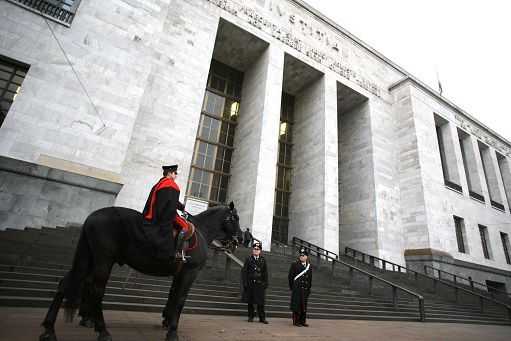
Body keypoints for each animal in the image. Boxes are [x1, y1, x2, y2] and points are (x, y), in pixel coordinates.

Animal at [38, 202, 242, 340]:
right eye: (235, 218)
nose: (242, 238)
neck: (201, 232)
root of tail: (92, 217)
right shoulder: (189, 272)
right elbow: (180, 300)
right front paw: (172, 331)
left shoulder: (179, 273)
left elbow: (173, 296)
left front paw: (167, 321)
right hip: (103, 259)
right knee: (96, 289)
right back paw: (102, 330)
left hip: (89, 258)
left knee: (66, 284)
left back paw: (49, 329)